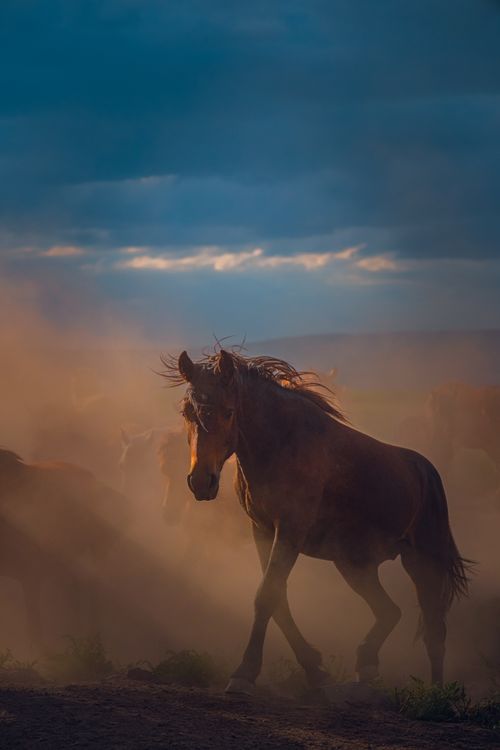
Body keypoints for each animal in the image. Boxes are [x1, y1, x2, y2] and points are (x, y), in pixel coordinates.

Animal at [161, 348, 470, 694]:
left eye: (228, 412)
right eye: (188, 413)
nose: (201, 482)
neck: (281, 444)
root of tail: (426, 471)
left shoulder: (290, 532)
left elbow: (267, 596)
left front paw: (244, 673)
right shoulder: (263, 531)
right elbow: (277, 600)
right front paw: (315, 670)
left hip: (422, 563)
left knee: (433, 629)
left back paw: (436, 692)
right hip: (354, 566)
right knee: (390, 611)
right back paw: (366, 666)